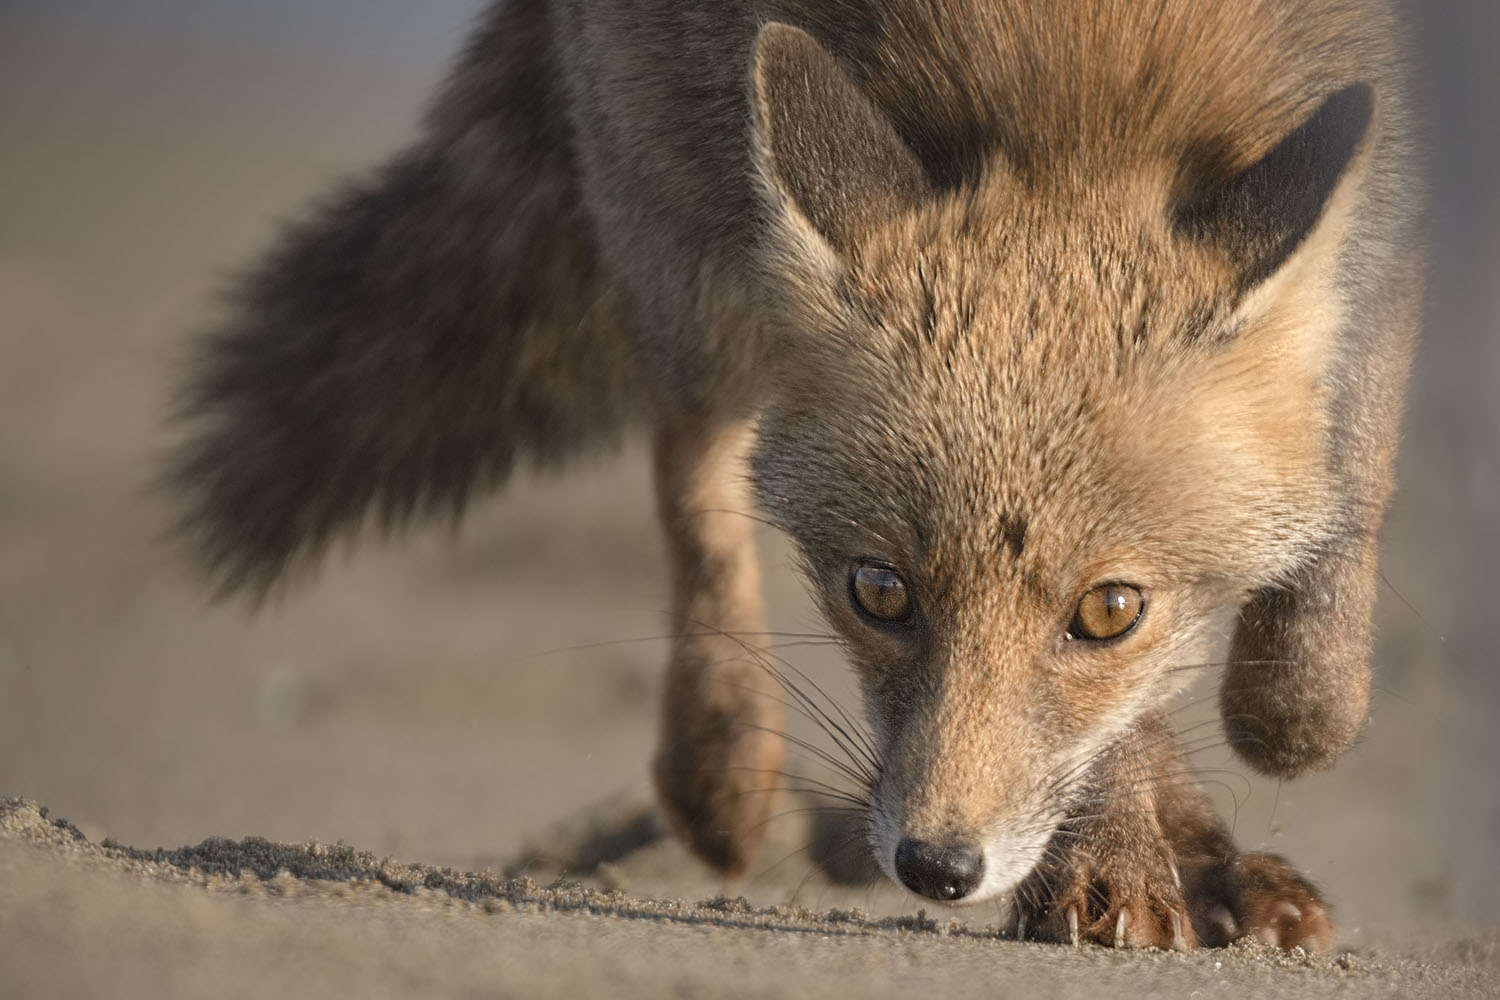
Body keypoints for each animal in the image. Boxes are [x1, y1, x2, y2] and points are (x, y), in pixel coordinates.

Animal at [167, 0, 1424, 951]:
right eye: (878, 591)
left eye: (1109, 609)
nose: (937, 864)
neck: (1091, 90)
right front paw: (1109, 860)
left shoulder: (1390, 178)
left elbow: (1320, 600)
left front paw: (1272, 714)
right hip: (686, 224)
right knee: (692, 467)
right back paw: (723, 767)